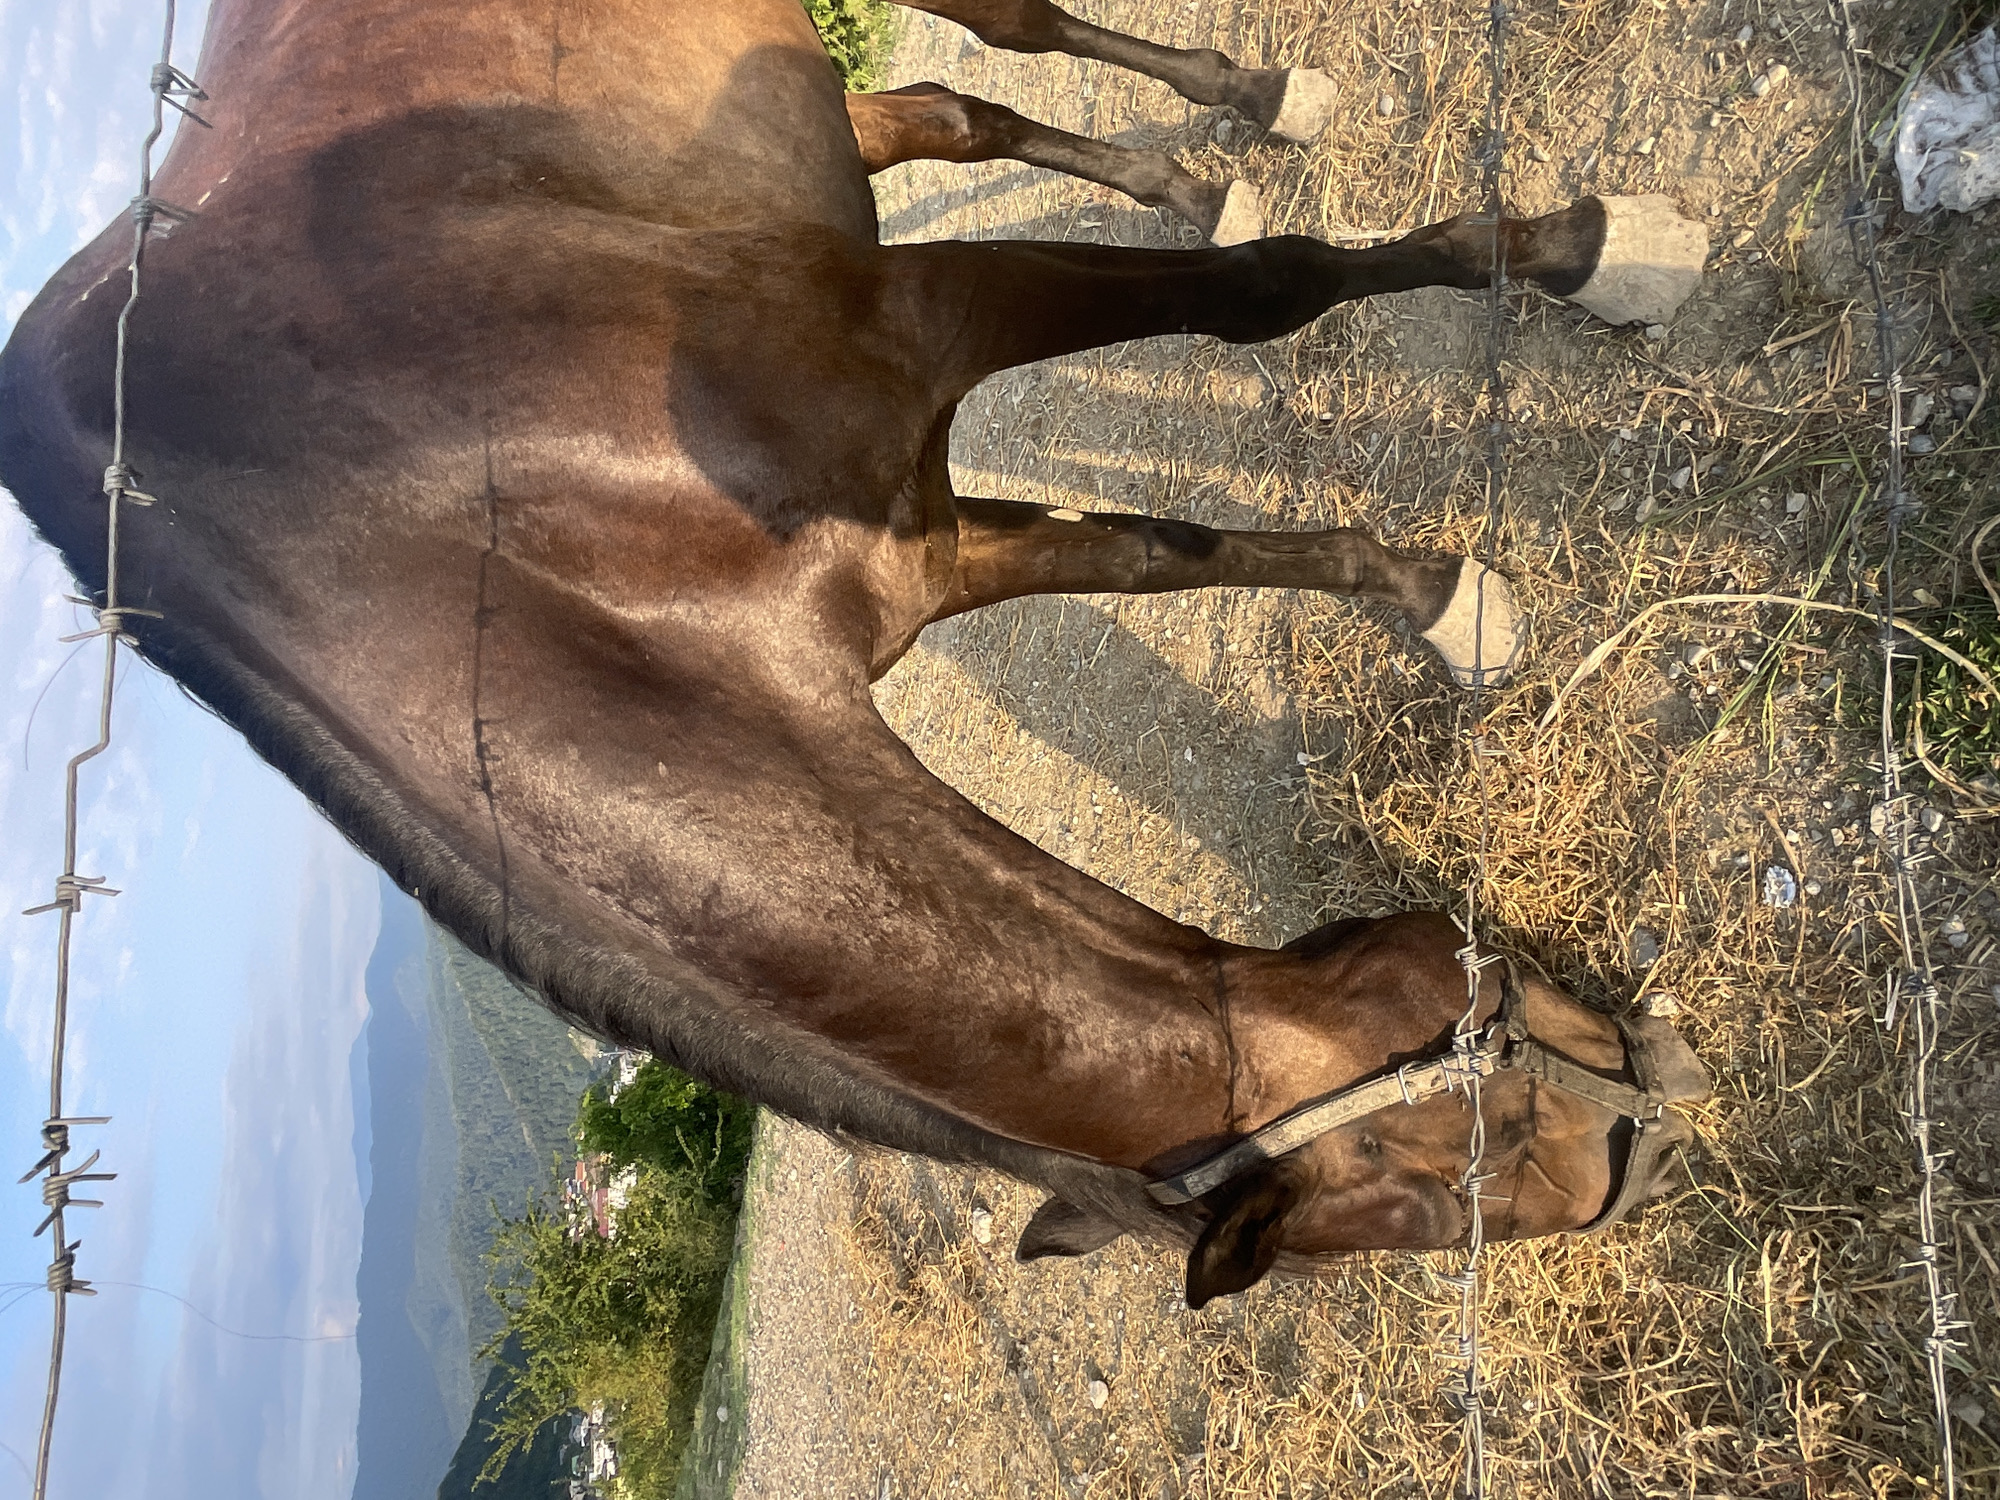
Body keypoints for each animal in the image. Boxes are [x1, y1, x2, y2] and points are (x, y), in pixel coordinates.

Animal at [0, 0, 1709, 1307]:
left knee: (993, 50)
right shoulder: (918, 543)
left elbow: (1259, 295)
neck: (466, 514)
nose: (1646, 1128)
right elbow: (1160, 547)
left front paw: (1588, 251)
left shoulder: (920, 320)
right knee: (941, 113)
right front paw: (1436, 588)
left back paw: (1249, 103)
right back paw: (1178, 162)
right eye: (1458, 1178)